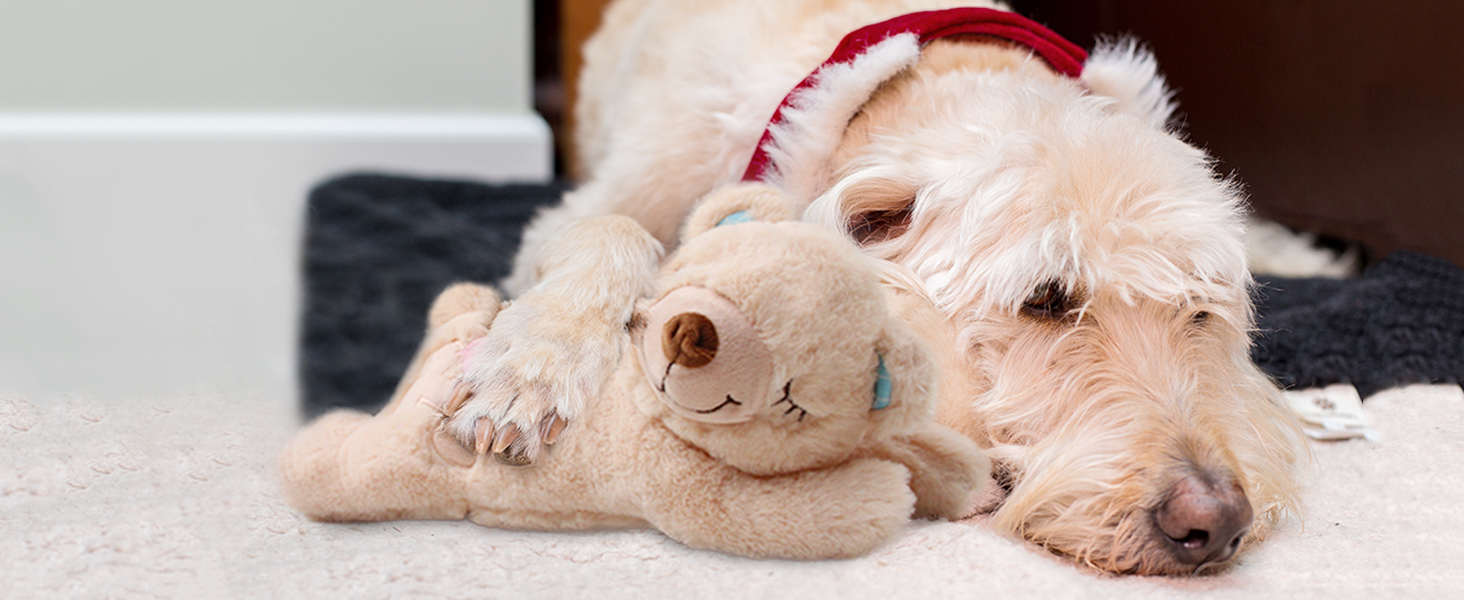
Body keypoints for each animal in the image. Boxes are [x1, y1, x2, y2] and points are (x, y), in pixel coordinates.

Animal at [442, 0, 1305, 573]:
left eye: (1200, 311)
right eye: (1046, 300)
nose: (1215, 524)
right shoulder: (595, 204)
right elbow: (612, 232)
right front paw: (530, 369)